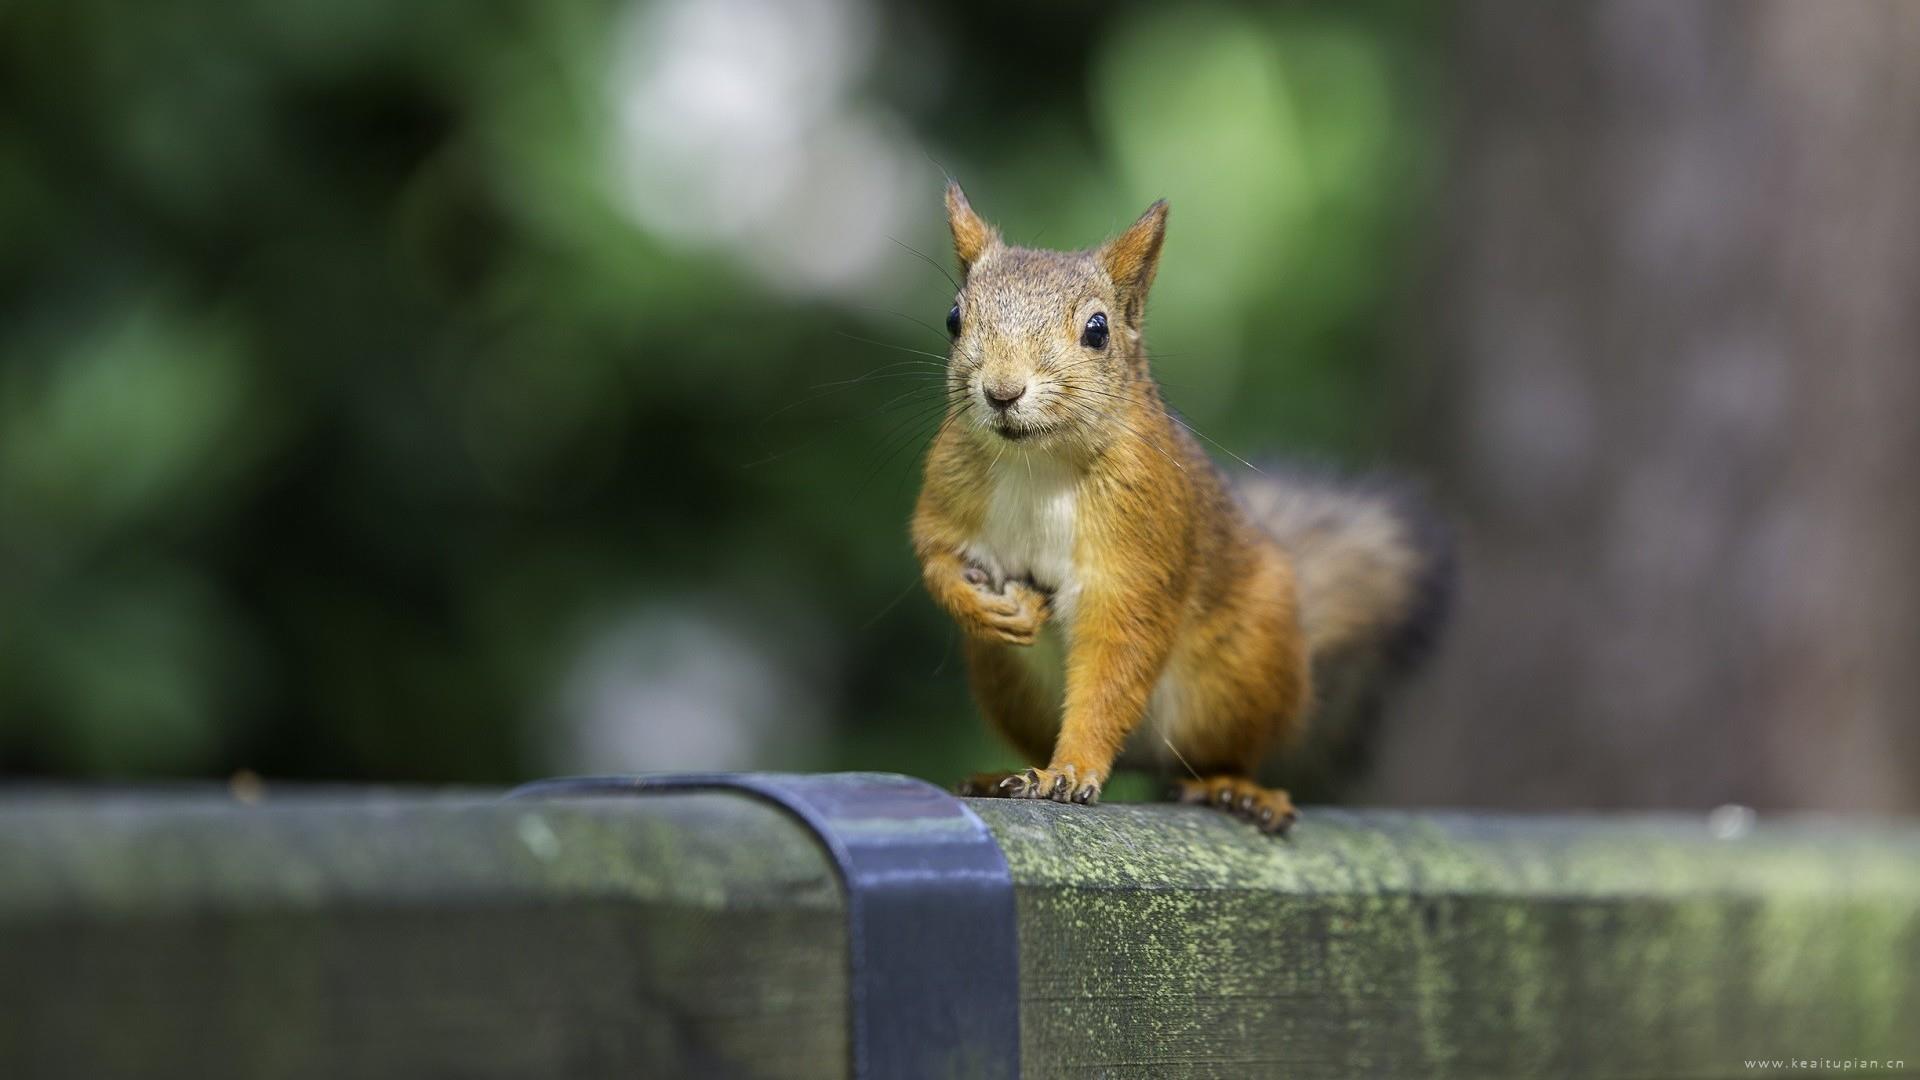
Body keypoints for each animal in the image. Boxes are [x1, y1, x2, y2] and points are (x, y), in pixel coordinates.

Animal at [906, 182, 1443, 834]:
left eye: (1097, 330)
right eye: (954, 319)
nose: (1002, 391)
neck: (1041, 462)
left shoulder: (1140, 544)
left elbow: (1117, 656)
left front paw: (1073, 769)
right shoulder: (949, 490)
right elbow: (934, 554)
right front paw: (980, 606)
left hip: (1242, 673)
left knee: (1223, 755)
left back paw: (1235, 790)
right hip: (1007, 684)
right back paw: (1000, 775)